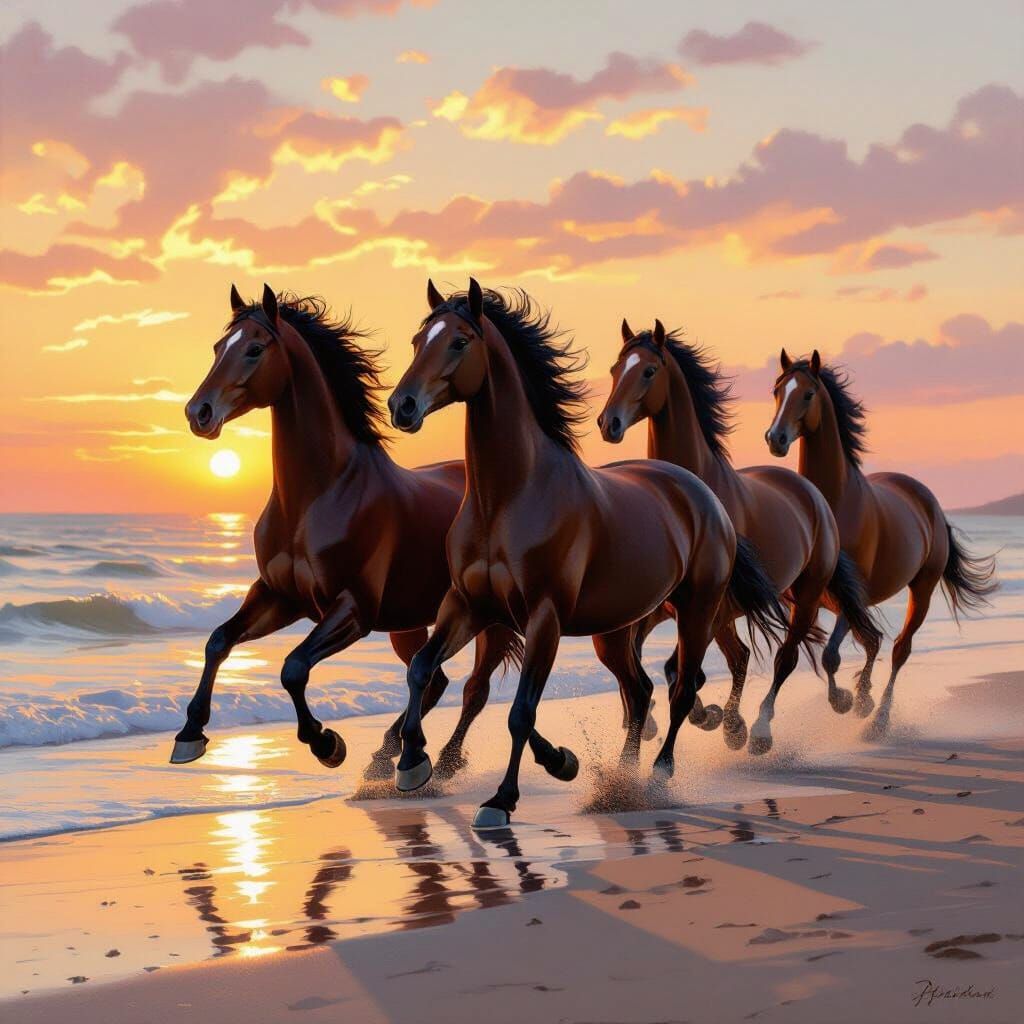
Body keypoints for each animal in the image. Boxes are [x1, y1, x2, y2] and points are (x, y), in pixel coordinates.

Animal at [174, 283, 522, 777]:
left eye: (255, 349)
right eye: (219, 347)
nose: (198, 413)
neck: (320, 495)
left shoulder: (352, 610)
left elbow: (293, 667)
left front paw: (326, 744)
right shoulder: (280, 596)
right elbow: (218, 641)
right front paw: (189, 734)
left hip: (486, 617)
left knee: (474, 686)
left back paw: (441, 763)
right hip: (410, 623)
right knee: (434, 679)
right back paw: (388, 756)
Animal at [387, 279, 786, 828]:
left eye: (459, 342)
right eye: (416, 340)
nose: (402, 406)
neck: (507, 497)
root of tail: (704, 495)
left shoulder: (544, 617)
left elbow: (521, 711)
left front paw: (501, 800)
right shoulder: (468, 606)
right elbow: (422, 669)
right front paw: (413, 763)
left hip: (697, 610)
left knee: (681, 688)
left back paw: (658, 776)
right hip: (615, 630)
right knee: (639, 693)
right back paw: (621, 778)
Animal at [598, 320, 880, 754]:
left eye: (648, 371)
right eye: (615, 370)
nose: (608, 423)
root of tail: (812, 494)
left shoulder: (710, 605)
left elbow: (685, 670)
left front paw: (710, 717)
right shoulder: (671, 606)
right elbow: (660, 662)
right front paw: (662, 721)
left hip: (805, 594)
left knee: (784, 657)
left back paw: (759, 729)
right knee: (741, 656)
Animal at [765, 349, 996, 738]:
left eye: (808, 394)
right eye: (777, 392)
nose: (775, 439)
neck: (835, 504)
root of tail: (928, 501)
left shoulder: (849, 596)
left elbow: (833, 655)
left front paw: (848, 701)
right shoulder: (813, 598)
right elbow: (834, 648)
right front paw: (854, 697)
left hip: (921, 590)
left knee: (900, 648)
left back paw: (878, 719)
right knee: (873, 641)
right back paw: (866, 698)